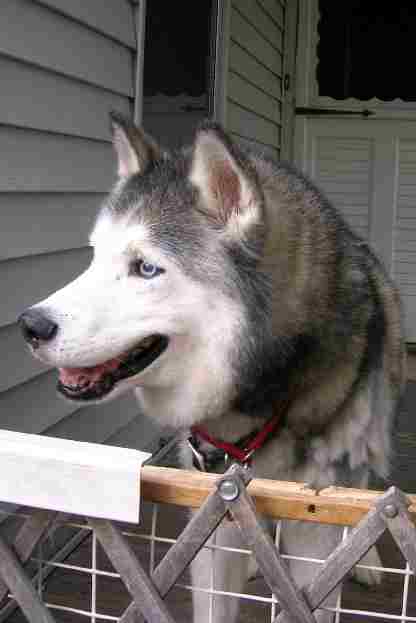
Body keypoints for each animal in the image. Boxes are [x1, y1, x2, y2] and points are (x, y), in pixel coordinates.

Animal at [19, 113, 406, 622]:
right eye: (94, 257)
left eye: (146, 268)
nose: (30, 325)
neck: (264, 398)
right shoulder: (213, 513)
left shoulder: (315, 526)